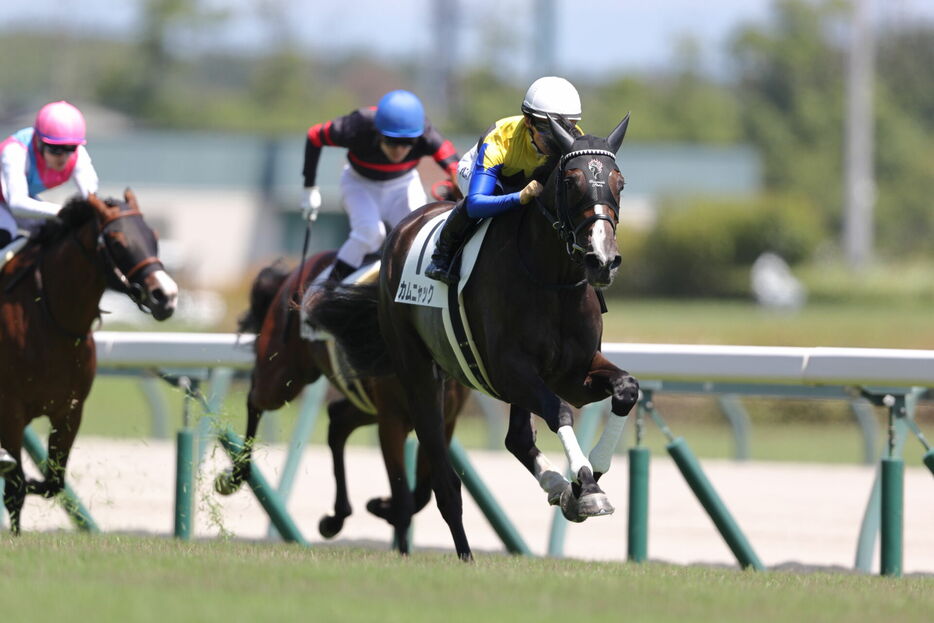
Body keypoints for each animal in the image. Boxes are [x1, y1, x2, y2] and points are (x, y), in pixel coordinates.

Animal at [0, 193, 177, 532]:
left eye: (153, 236)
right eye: (118, 241)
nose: (166, 296)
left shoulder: (70, 410)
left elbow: (52, 482)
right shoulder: (11, 411)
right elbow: (15, 489)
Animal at [211, 251, 464, 552]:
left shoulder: (444, 421)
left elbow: (423, 492)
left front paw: (380, 507)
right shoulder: (392, 419)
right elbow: (404, 497)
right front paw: (399, 541)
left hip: (363, 404)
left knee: (337, 420)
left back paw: (336, 517)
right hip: (282, 377)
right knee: (255, 400)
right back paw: (236, 476)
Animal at [314, 116, 644, 560]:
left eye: (619, 181)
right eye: (571, 180)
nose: (602, 259)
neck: (551, 279)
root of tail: (403, 227)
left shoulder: (572, 372)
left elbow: (625, 389)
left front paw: (587, 480)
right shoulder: (507, 371)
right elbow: (559, 412)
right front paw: (586, 487)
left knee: (517, 438)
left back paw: (557, 486)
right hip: (417, 373)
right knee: (444, 481)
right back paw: (465, 552)